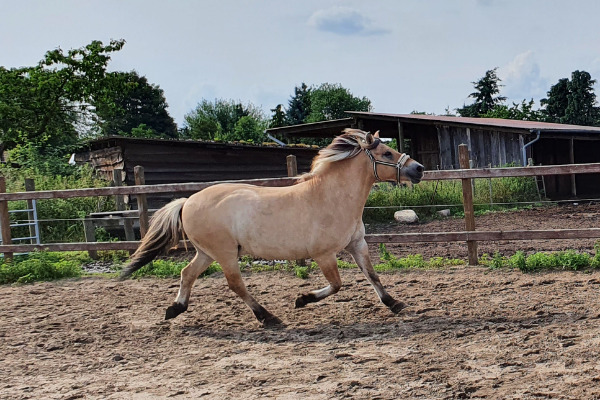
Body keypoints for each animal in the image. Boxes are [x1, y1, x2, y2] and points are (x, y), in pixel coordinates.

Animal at [119, 130, 424, 326]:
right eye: (386, 152)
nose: (419, 169)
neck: (332, 198)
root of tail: (187, 202)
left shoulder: (357, 244)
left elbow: (373, 275)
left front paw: (395, 303)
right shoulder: (324, 254)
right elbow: (337, 285)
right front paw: (302, 299)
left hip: (206, 253)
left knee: (187, 274)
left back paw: (175, 309)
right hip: (225, 253)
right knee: (235, 284)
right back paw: (268, 317)